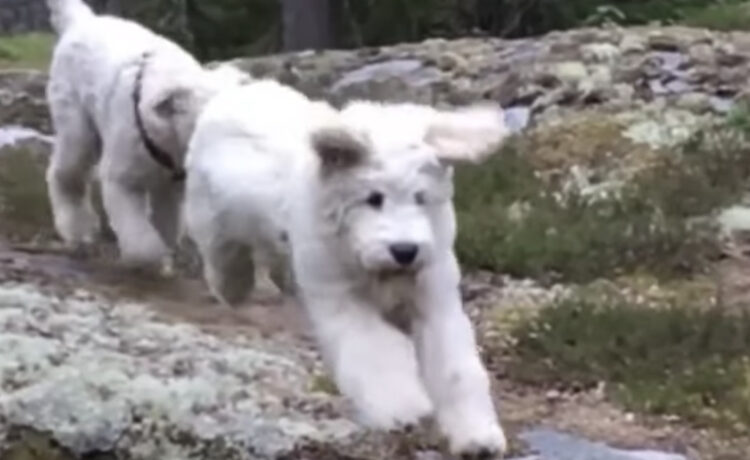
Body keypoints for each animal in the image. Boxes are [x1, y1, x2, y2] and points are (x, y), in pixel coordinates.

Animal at [44, 0, 247, 270]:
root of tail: (81, 21)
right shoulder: (122, 177)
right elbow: (142, 242)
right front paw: (150, 260)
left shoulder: (172, 186)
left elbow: (167, 224)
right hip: (76, 124)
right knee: (65, 173)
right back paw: (78, 231)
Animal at [184, 81, 512, 458]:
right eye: (373, 198)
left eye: (421, 197)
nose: (405, 251)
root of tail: (234, 88)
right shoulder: (342, 302)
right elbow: (375, 354)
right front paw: (401, 407)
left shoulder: (435, 300)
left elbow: (456, 368)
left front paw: (477, 437)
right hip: (213, 220)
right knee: (224, 258)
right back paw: (233, 287)